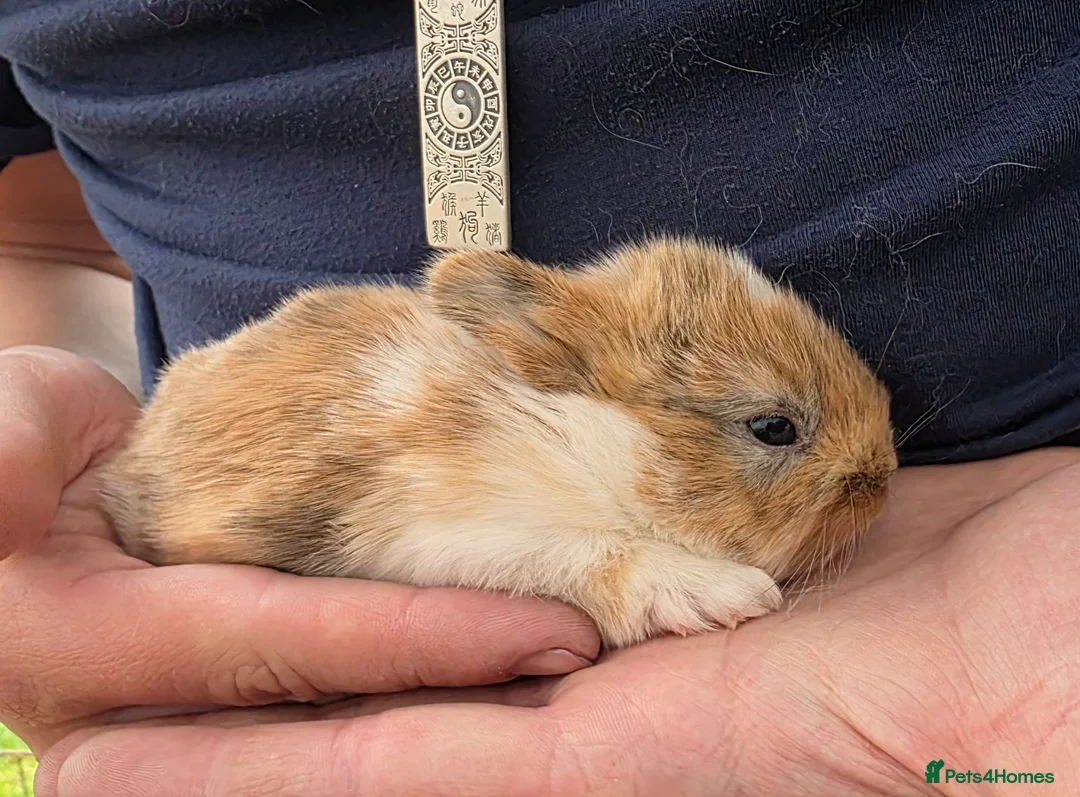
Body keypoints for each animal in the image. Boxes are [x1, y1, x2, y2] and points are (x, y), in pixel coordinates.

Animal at [100, 237, 898, 649]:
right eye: (773, 427)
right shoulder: (456, 528)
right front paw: (726, 595)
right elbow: (601, 554)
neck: (588, 446)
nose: (883, 475)